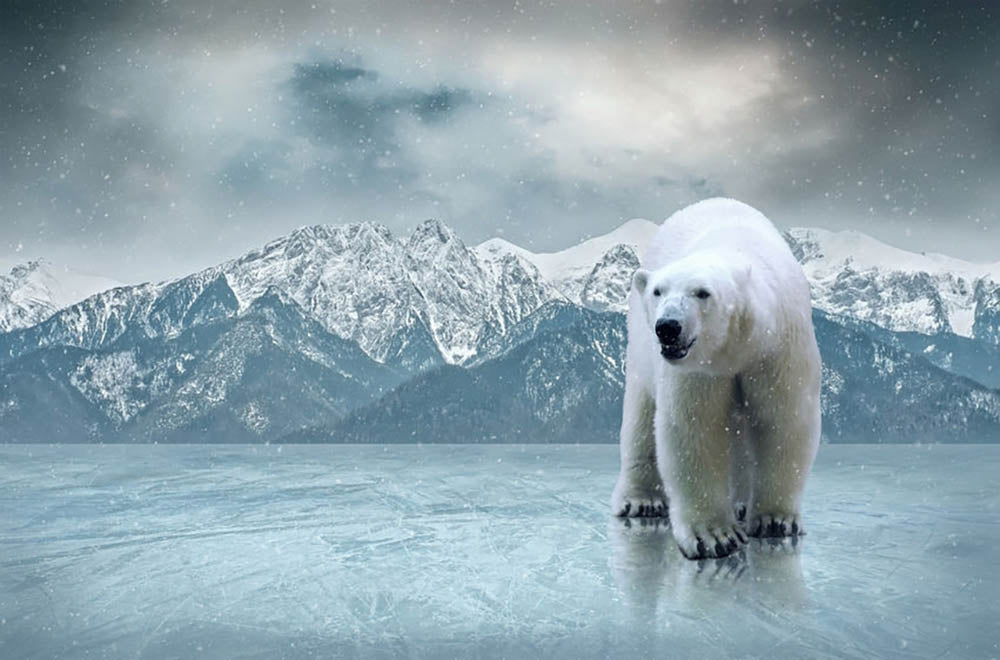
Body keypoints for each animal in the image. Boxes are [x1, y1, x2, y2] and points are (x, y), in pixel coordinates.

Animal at [610, 197, 821, 560]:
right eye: (658, 291)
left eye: (702, 292)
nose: (668, 327)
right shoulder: (699, 369)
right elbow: (696, 427)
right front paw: (715, 536)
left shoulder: (779, 348)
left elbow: (784, 418)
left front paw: (775, 520)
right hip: (639, 350)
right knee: (641, 416)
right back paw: (641, 500)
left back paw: (740, 503)